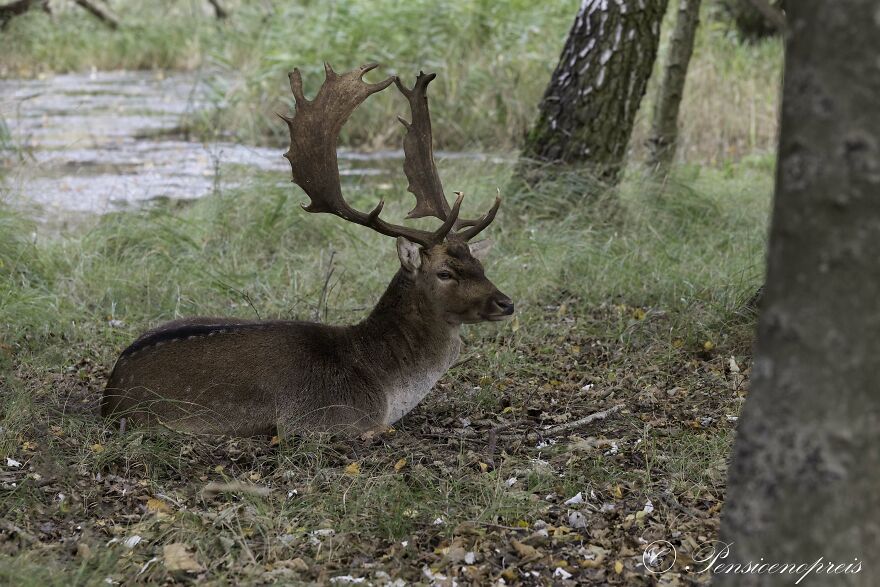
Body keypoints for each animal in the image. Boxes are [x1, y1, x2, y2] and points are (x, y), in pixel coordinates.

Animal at [101, 63, 514, 437]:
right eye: (445, 272)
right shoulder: (316, 420)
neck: (385, 387)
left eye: (480, 264)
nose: (506, 302)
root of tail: (110, 392)